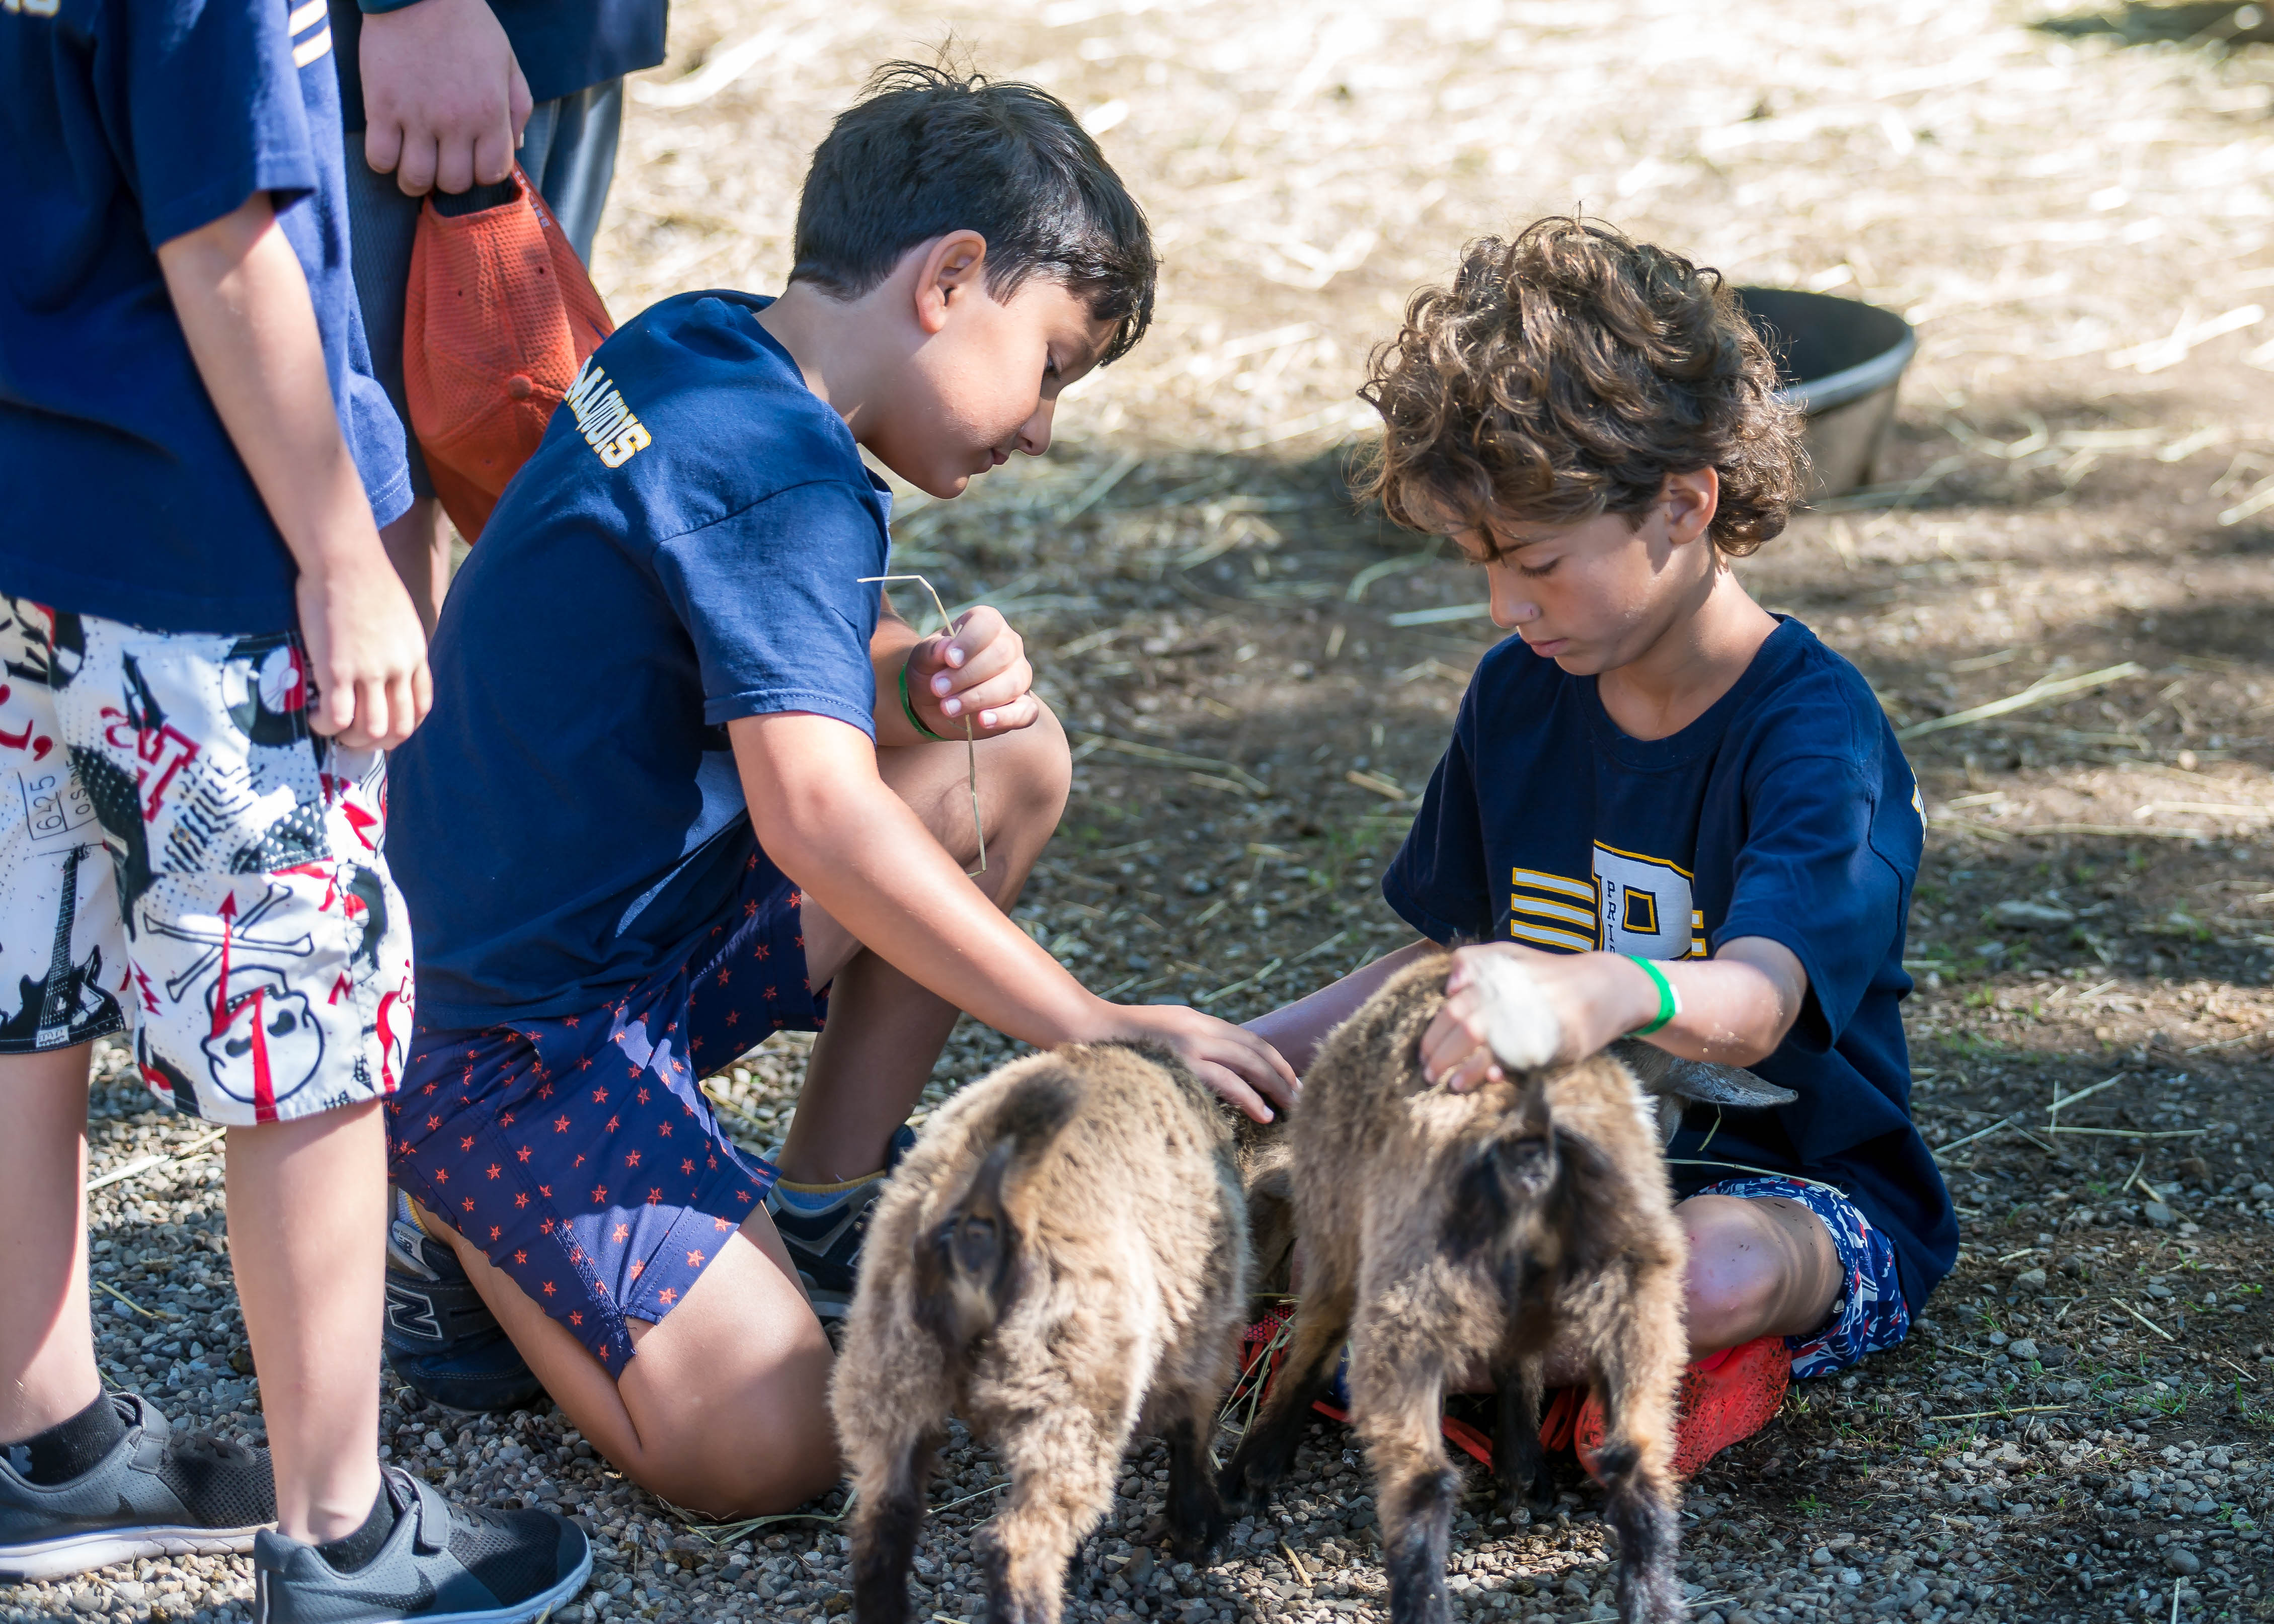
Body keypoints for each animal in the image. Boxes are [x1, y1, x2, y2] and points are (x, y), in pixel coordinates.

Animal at [832, 1042, 1255, 1624]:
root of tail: (979, 1214)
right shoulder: (1206, 1329)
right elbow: (1192, 1431)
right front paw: (1199, 1530)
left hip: (891, 1369)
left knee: (881, 1531)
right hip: (1070, 1389)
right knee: (1016, 1545)